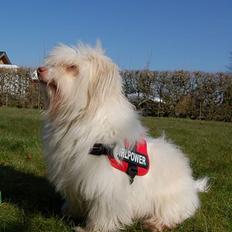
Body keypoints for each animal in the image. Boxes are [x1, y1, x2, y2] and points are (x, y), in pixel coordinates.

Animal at [38, 42, 208, 231]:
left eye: (72, 67)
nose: (39, 70)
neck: (81, 116)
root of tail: (191, 185)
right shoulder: (73, 176)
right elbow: (75, 199)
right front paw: (70, 211)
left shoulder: (106, 186)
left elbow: (103, 212)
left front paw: (93, 228)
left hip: (169, 201)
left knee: (172, 213)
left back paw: (156, 223)